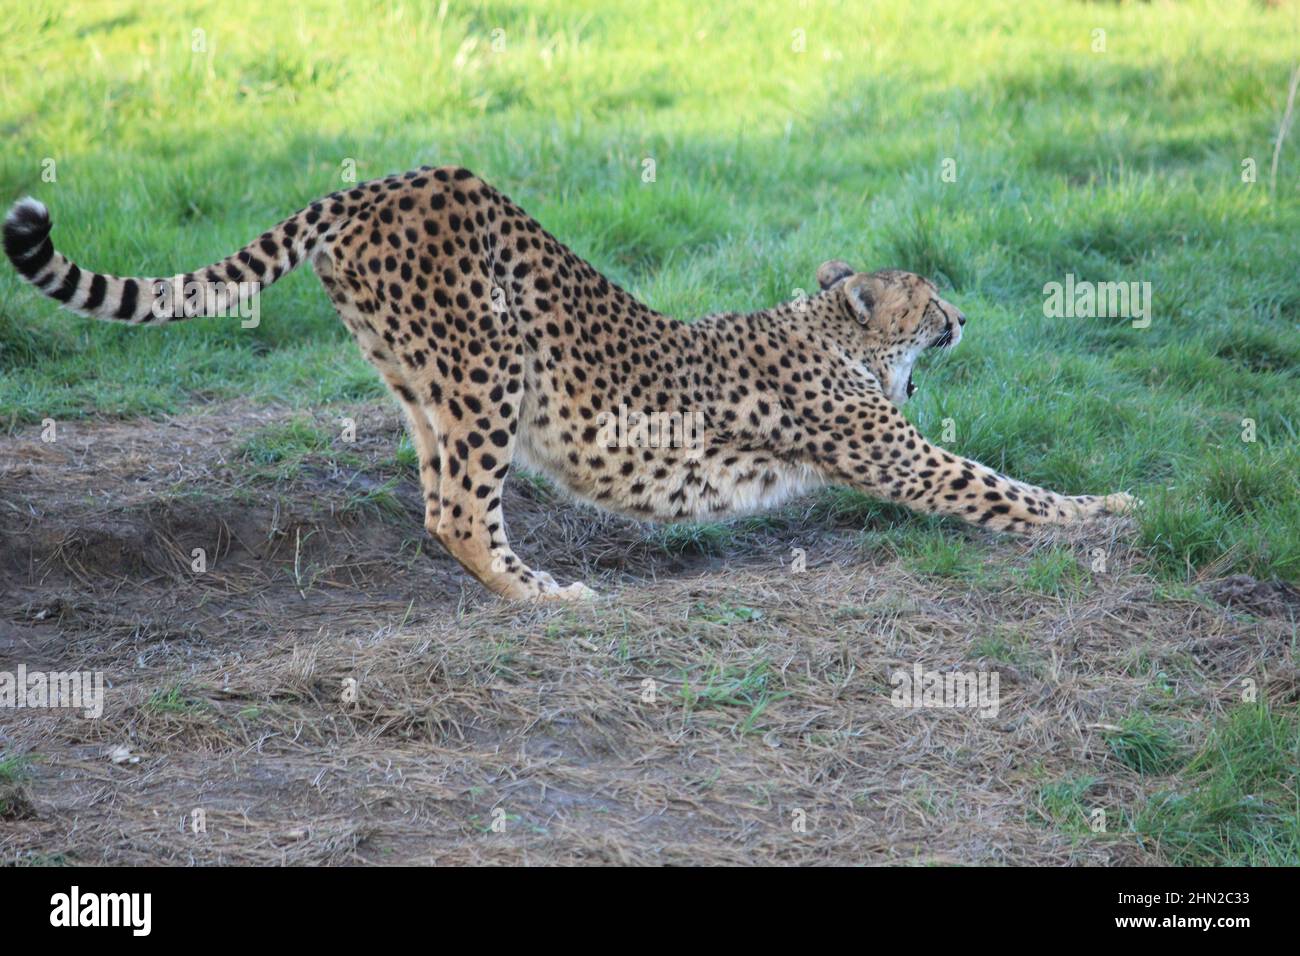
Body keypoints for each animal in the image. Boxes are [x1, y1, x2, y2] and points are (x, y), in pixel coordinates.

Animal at [2, 164, 1138, 598]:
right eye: (929, 296)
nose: (963, 317)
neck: (833, 332)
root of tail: (385, 180)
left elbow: (1006, 480)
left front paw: (1110, 502)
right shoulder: (899, 457)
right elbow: (1005, 487)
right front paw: (1114, 508)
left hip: (423, 382)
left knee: (437, 504)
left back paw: (520, 585)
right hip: (489, 366)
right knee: (464, 509)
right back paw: (543, 595)